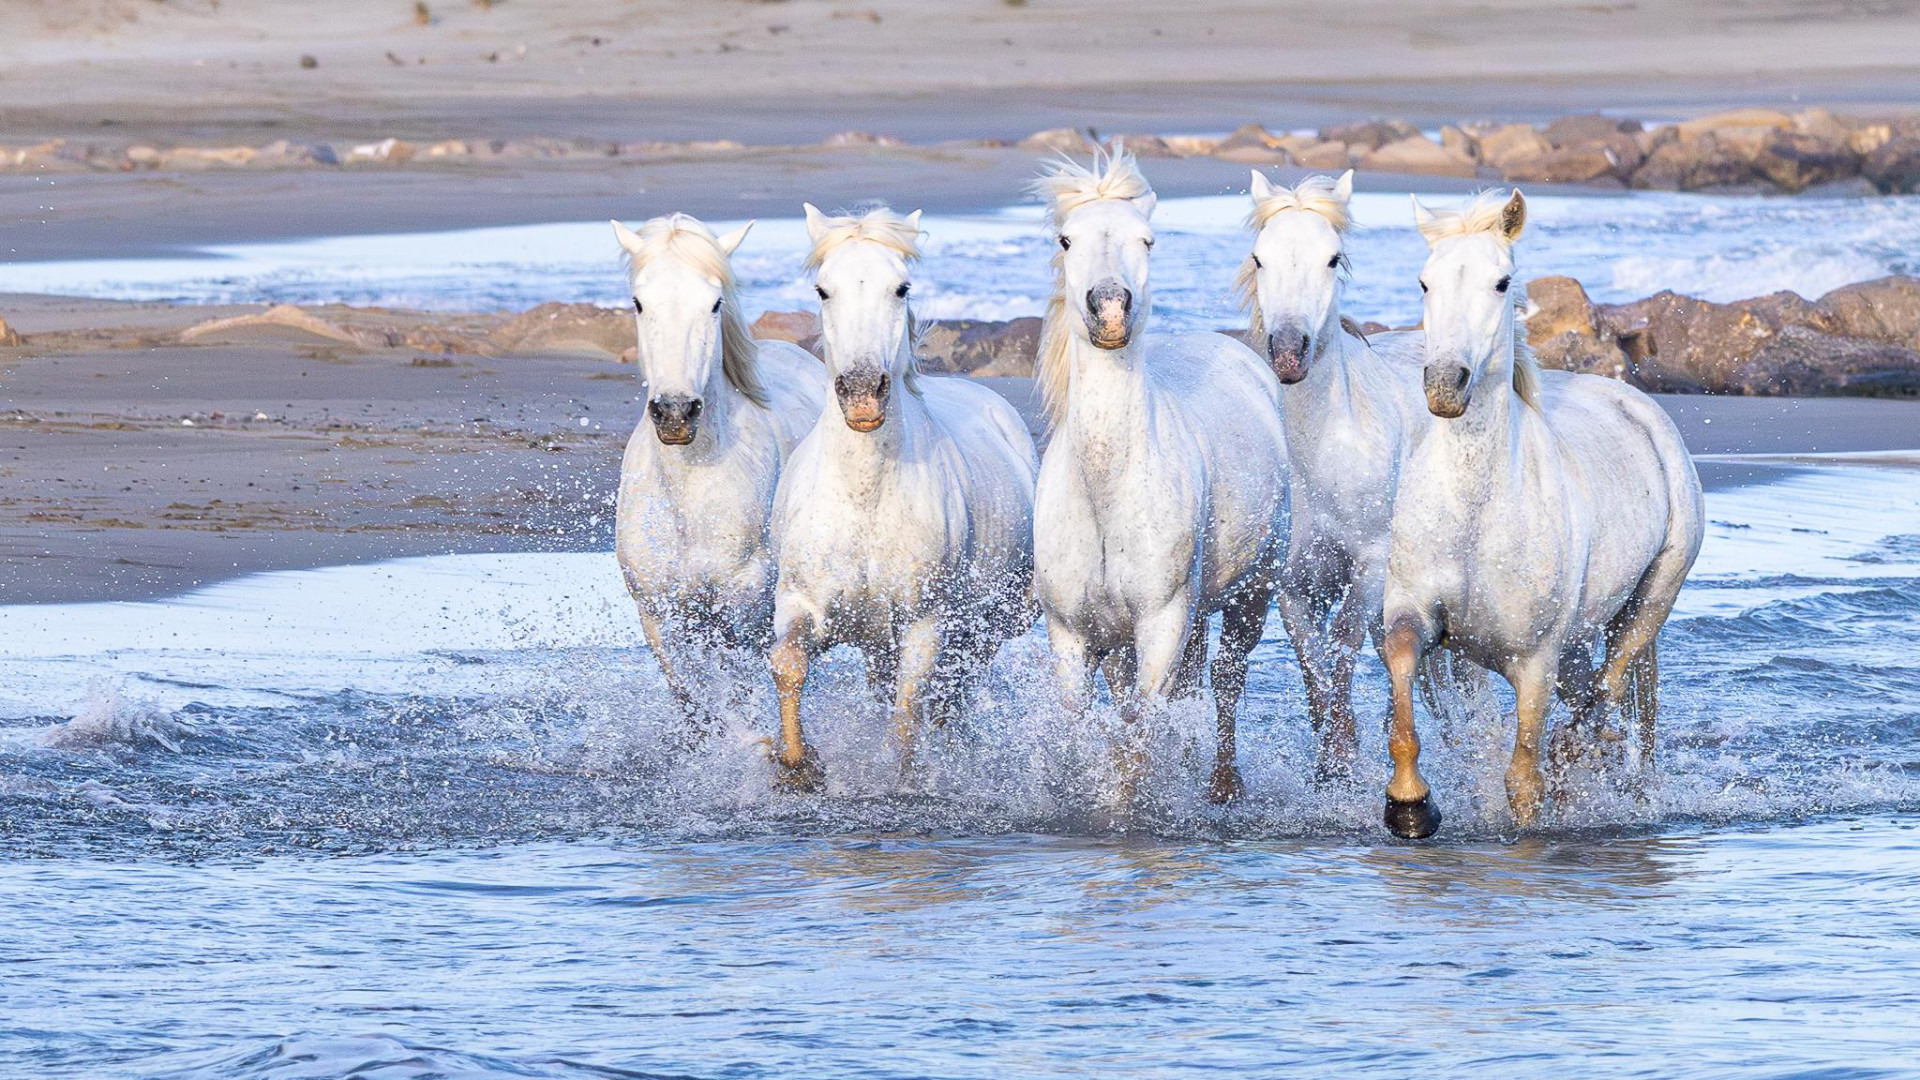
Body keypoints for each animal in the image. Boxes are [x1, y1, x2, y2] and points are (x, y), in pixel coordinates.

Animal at [610, 212, 829, 722]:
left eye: (714, 303)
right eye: (639, 303)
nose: (675, 413)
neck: (689, 499)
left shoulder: (741, 614)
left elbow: (737, 691)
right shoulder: (658, 614)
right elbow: (689, 698)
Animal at [764, 203, 1044, 791]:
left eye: (901, 287)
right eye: (823, 289)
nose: (863, 394)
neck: (865, 494)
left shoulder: (923, 621)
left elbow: (910, 705)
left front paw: (905, 781)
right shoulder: (804, 602)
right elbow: (789, 664)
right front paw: (799, 767)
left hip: (987, 622)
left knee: (954, 689)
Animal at [1036, 148, 1290, 799]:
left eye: (1147, 240)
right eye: (1066, 240)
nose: (1110, 308)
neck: (1106, 489)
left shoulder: (1161, 623)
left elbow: (1139, 741)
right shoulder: (1074, 635)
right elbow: (1084, 729)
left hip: (1250, 595)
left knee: (1225, 679)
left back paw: (1222, 785)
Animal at [1236, 166, 1436, 772]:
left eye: (1332, 259)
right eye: (1259, 258)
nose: (1288, 352)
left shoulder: (1368, 563)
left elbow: (1344, 644)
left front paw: (1346, 751)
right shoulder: (1294, 581)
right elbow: (1312, 661)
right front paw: (1331, 761)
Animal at [1374, 189, 1704, 837]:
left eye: (1502, 282)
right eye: (1424, 281)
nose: (1445, 385)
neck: (1477, 513)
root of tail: (1637, 405)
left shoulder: (1533, 663)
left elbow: (1523, 779)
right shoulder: (1412, 613)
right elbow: (1402, 682)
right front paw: (1410, 806)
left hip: (1648, 604)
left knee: (1606, 693)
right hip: (1578, 642)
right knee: (1593, 699)